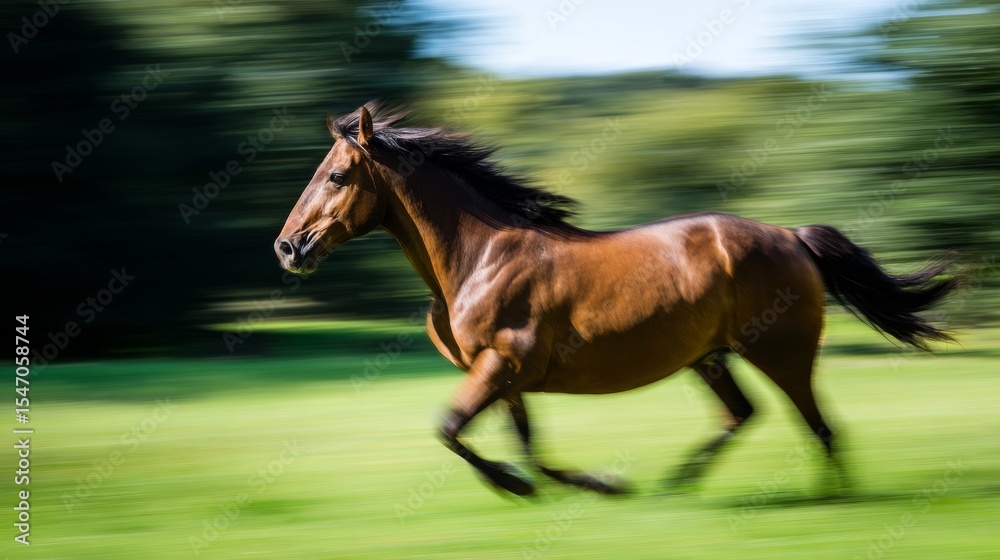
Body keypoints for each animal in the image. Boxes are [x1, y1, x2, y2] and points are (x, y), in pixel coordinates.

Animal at [274, 103, 960, 497]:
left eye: (337, 175)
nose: (288, 247)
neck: (481, 258)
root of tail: (792, 236)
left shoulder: (502, 365)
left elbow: (450, 429)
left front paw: (536, 487)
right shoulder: (507, 377)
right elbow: (525, 446)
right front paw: (591, 484)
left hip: (781, 351)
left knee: (819, 426)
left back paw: (830, 499)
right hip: (710, 357)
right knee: (744, 415)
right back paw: (676, 485)